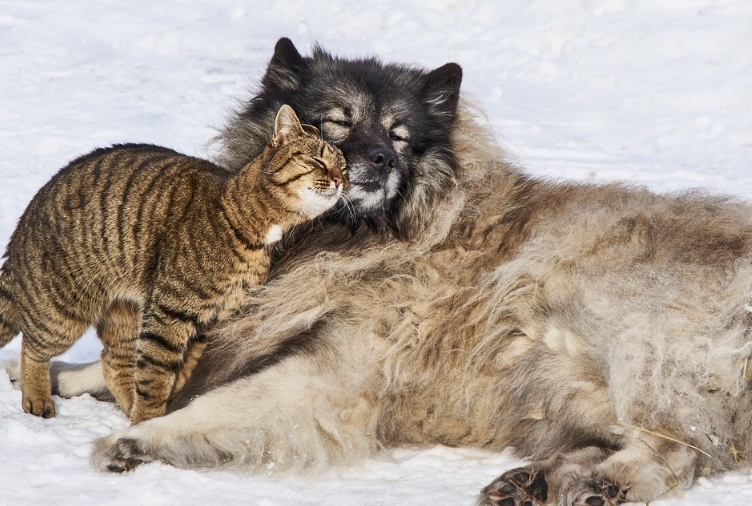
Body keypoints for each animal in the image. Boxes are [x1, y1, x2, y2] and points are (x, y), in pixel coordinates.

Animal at [0, 105, 346, 424]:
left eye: (343, 166)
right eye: (317, 161)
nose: (341, 180)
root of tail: (24, 221)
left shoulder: (209, 320)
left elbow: (180, 368)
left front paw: (157, 408)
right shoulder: (169, 312)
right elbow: (155, 375)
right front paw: (147, 419)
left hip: (125, 313)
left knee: (113, 361)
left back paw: (127, 407)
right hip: (63, 311)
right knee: (33, 348)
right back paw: (37, 397)